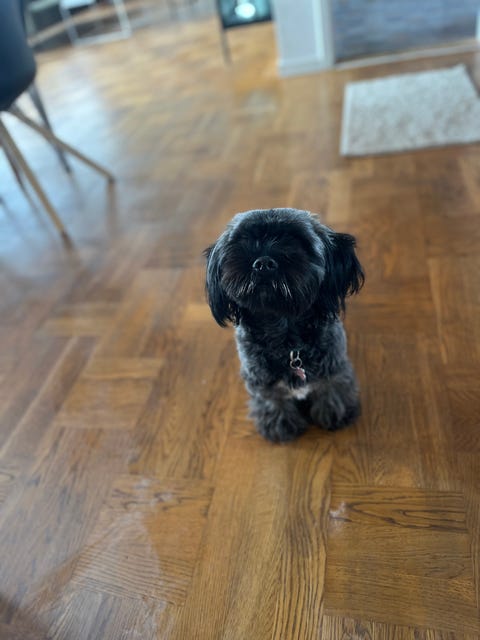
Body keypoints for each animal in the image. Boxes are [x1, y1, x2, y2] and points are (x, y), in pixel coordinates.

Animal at [204, 208, 364, 442]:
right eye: (244, 241)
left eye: (295, 240)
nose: (263, 263)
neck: (286, 337)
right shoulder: (260, 380)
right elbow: (272, 399)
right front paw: (280, 425)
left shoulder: (333, 365)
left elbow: (330, 387)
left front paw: (335, 414)